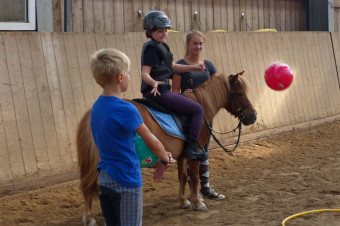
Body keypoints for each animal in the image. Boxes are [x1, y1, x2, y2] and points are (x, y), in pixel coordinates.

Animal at [77, 71, 256, 225]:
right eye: (239, 93)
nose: (253, 116)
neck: (201, 106)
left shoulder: (182, 155)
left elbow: (183, 176)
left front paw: (184, 201)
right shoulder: (195, 153)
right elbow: (194, 177)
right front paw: (197, 203)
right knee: (93, 186)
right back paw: (91, 218)